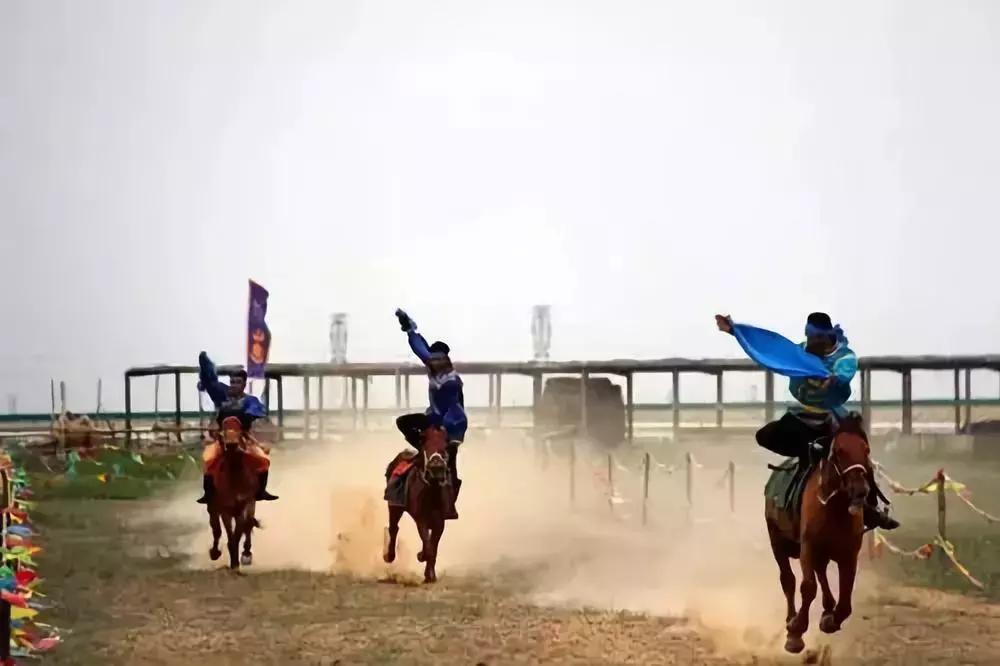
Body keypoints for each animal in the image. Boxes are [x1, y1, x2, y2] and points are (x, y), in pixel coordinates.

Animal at [206, 416, 260, 564]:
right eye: (222, 432)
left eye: (239, 430)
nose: (231, 445)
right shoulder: (225, 510)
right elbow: (228, 536)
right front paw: (233, 562)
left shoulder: (244, 506)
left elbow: (240, 532)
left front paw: (242, 557)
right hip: (214, 508)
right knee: (216, 529)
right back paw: (215, 552)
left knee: (248, 526)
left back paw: (246, 552)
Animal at [384, 426, 456, 580]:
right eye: (426, 445)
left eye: (444, 446)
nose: (436, 464)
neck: (431, 493)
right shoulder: (421, 518)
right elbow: (428, 546)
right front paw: (421, 556)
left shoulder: (439, 522)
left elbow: (432, 546)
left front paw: (430, 574)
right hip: (394, 507)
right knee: (393, 528)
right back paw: (389, 556)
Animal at [768, 412, 872, 652]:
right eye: (839, 451)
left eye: (866, 449)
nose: (860, 490)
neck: (835, 509)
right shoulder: (808, 547)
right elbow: (807, 587)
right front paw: (795, 631)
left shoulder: (849, 555)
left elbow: (845, 601)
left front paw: (830, 619)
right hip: (777, 541)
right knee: (788, 580)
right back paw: (791, 619)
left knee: (821, 573)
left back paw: (826, 609)